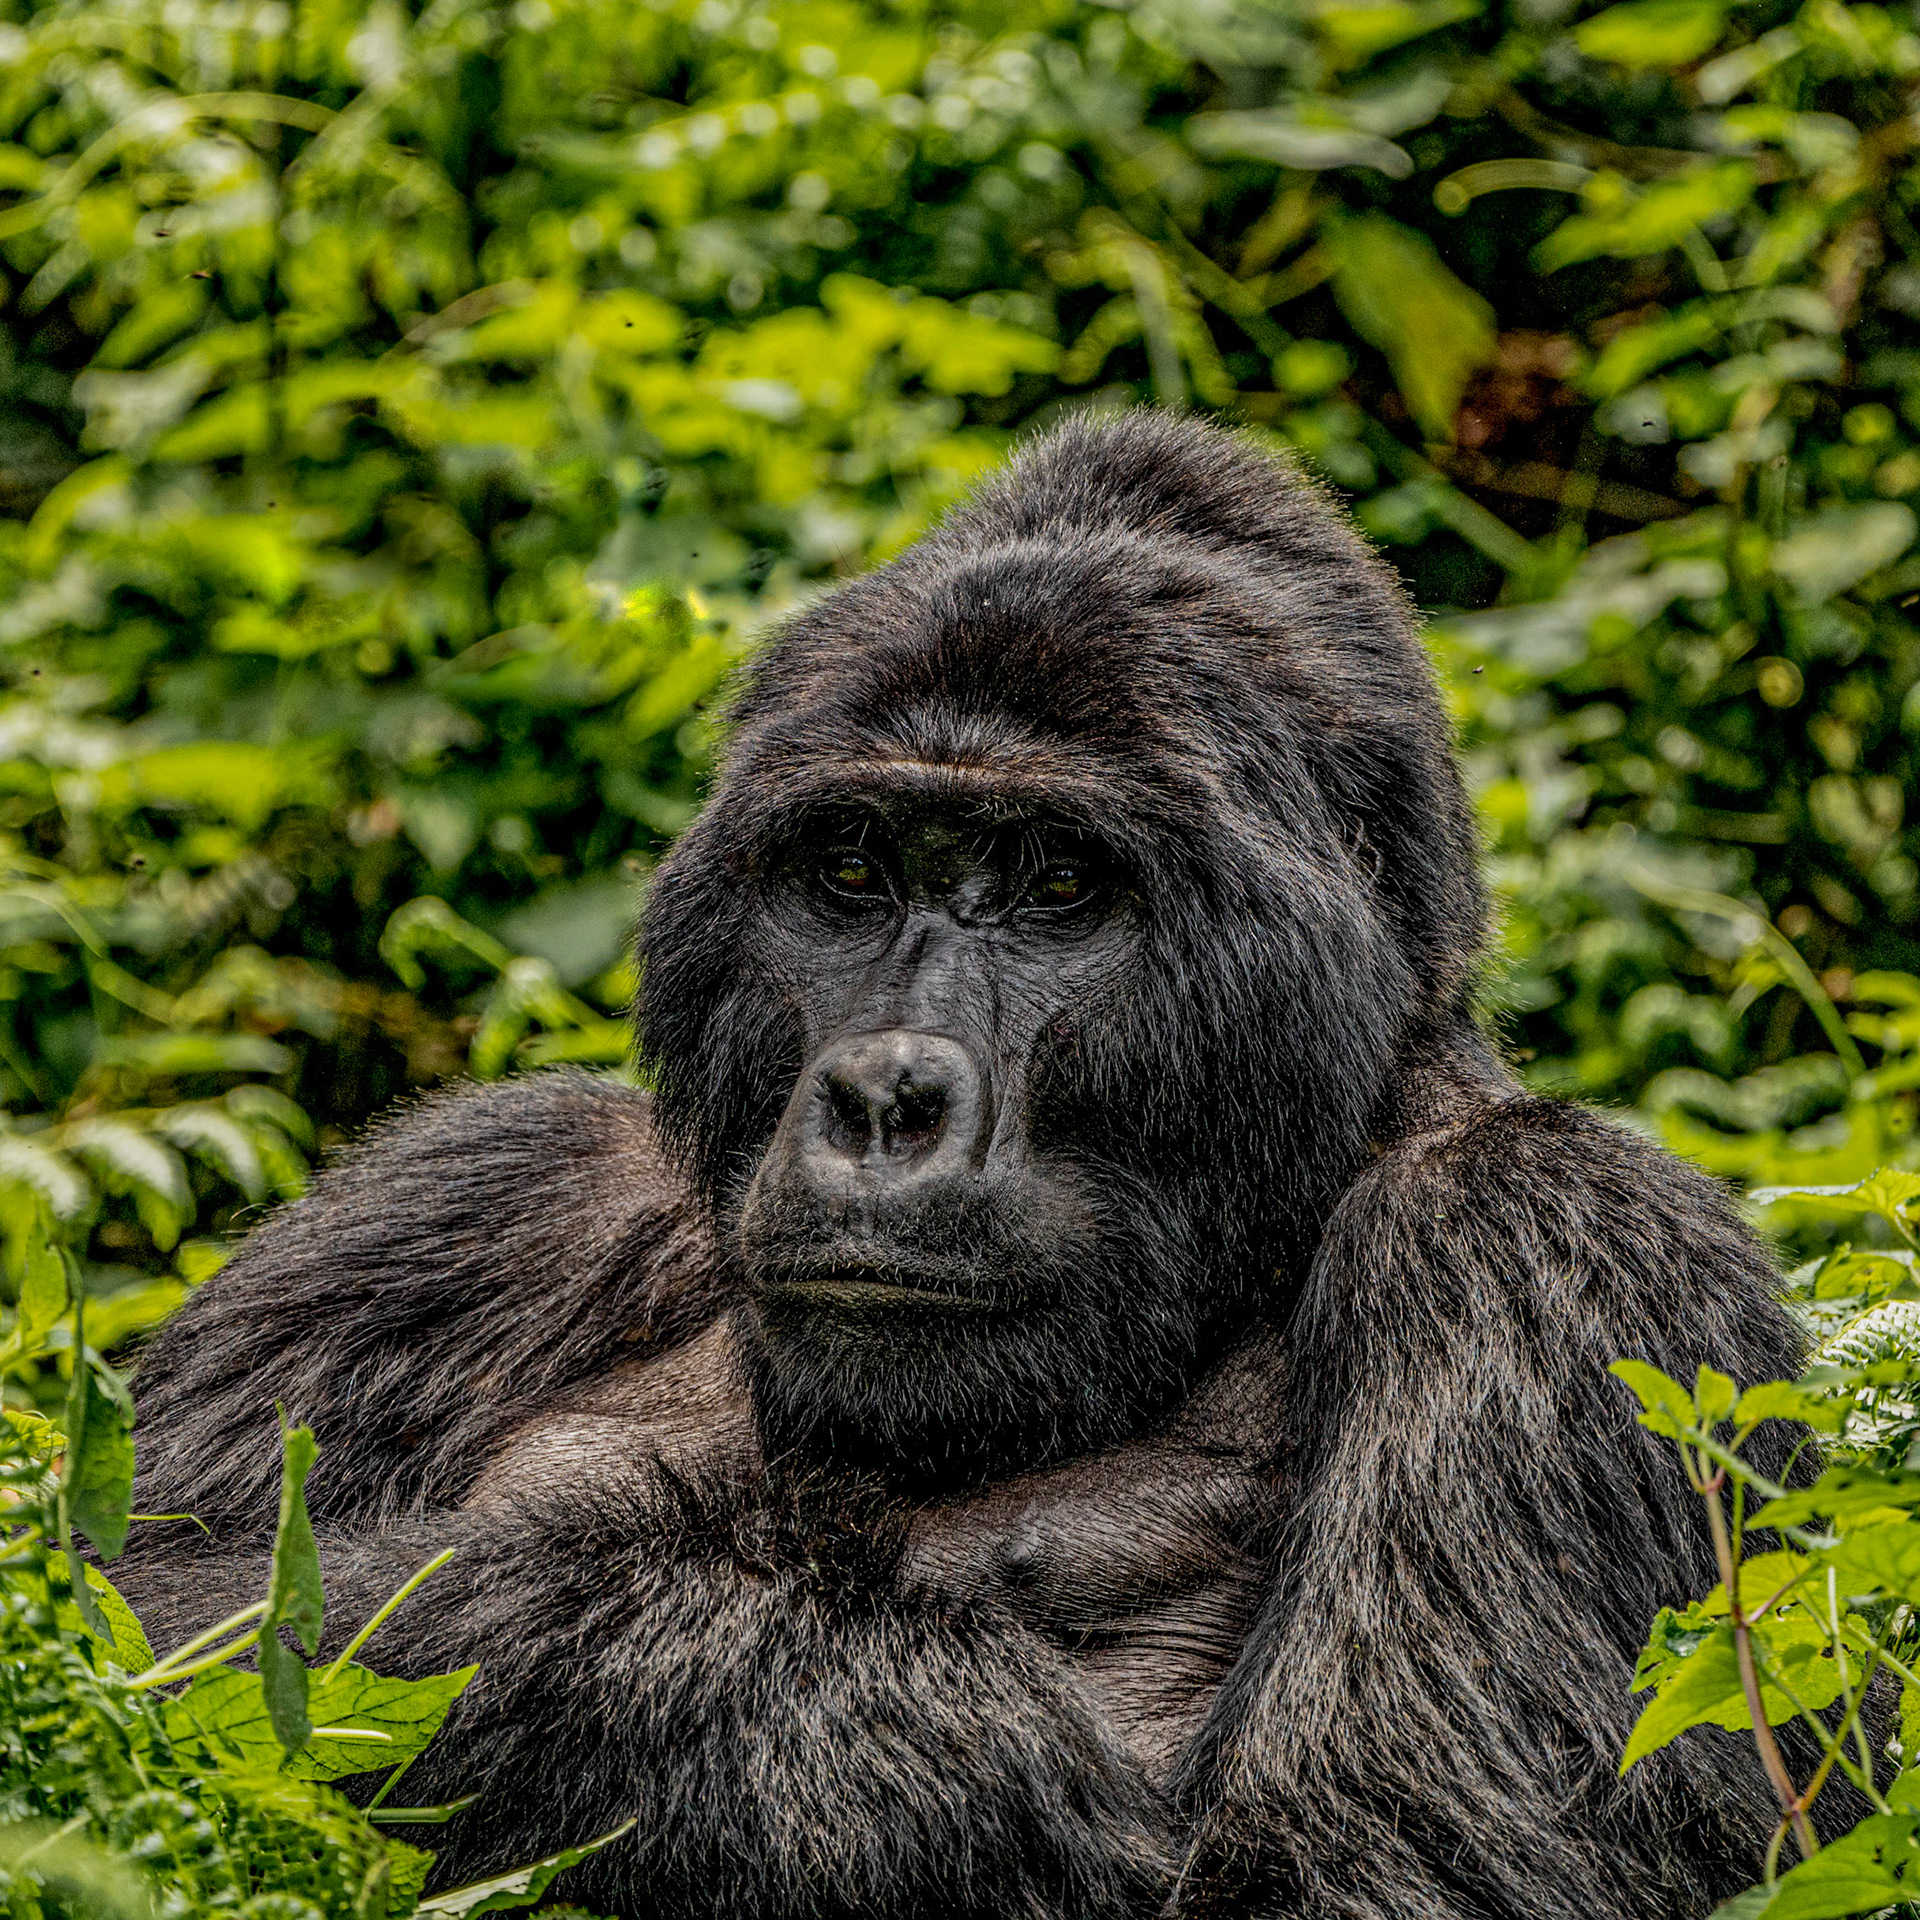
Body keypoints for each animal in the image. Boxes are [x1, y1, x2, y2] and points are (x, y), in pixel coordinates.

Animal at [114, 411, 1804, 1920]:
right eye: (852, 872)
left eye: (1061, 886)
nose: (882, 1096)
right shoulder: (482, 1194)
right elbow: (122, 1585)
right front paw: (886, 1743)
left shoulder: (1550, 1240)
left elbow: (1368, 1878)